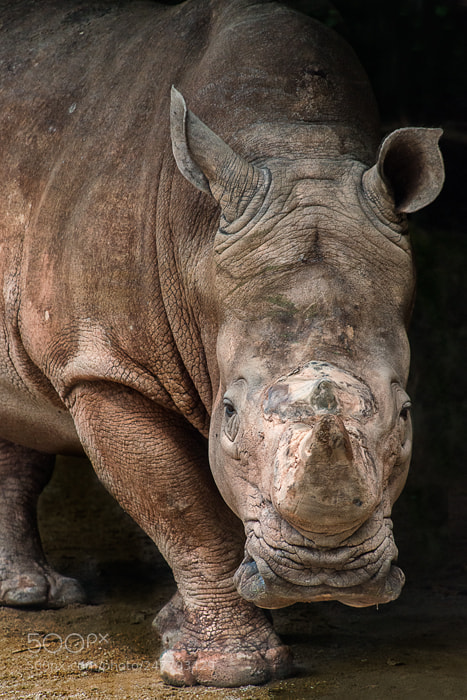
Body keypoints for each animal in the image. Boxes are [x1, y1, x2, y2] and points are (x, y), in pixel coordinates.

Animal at [0, 0, 444, 688]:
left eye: (405, 414)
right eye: (229, 414)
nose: (326, 574)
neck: (295, 143)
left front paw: (176, 628)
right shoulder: (103, 366)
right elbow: (183, 505)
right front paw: (230, 670)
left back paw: (31, 595)